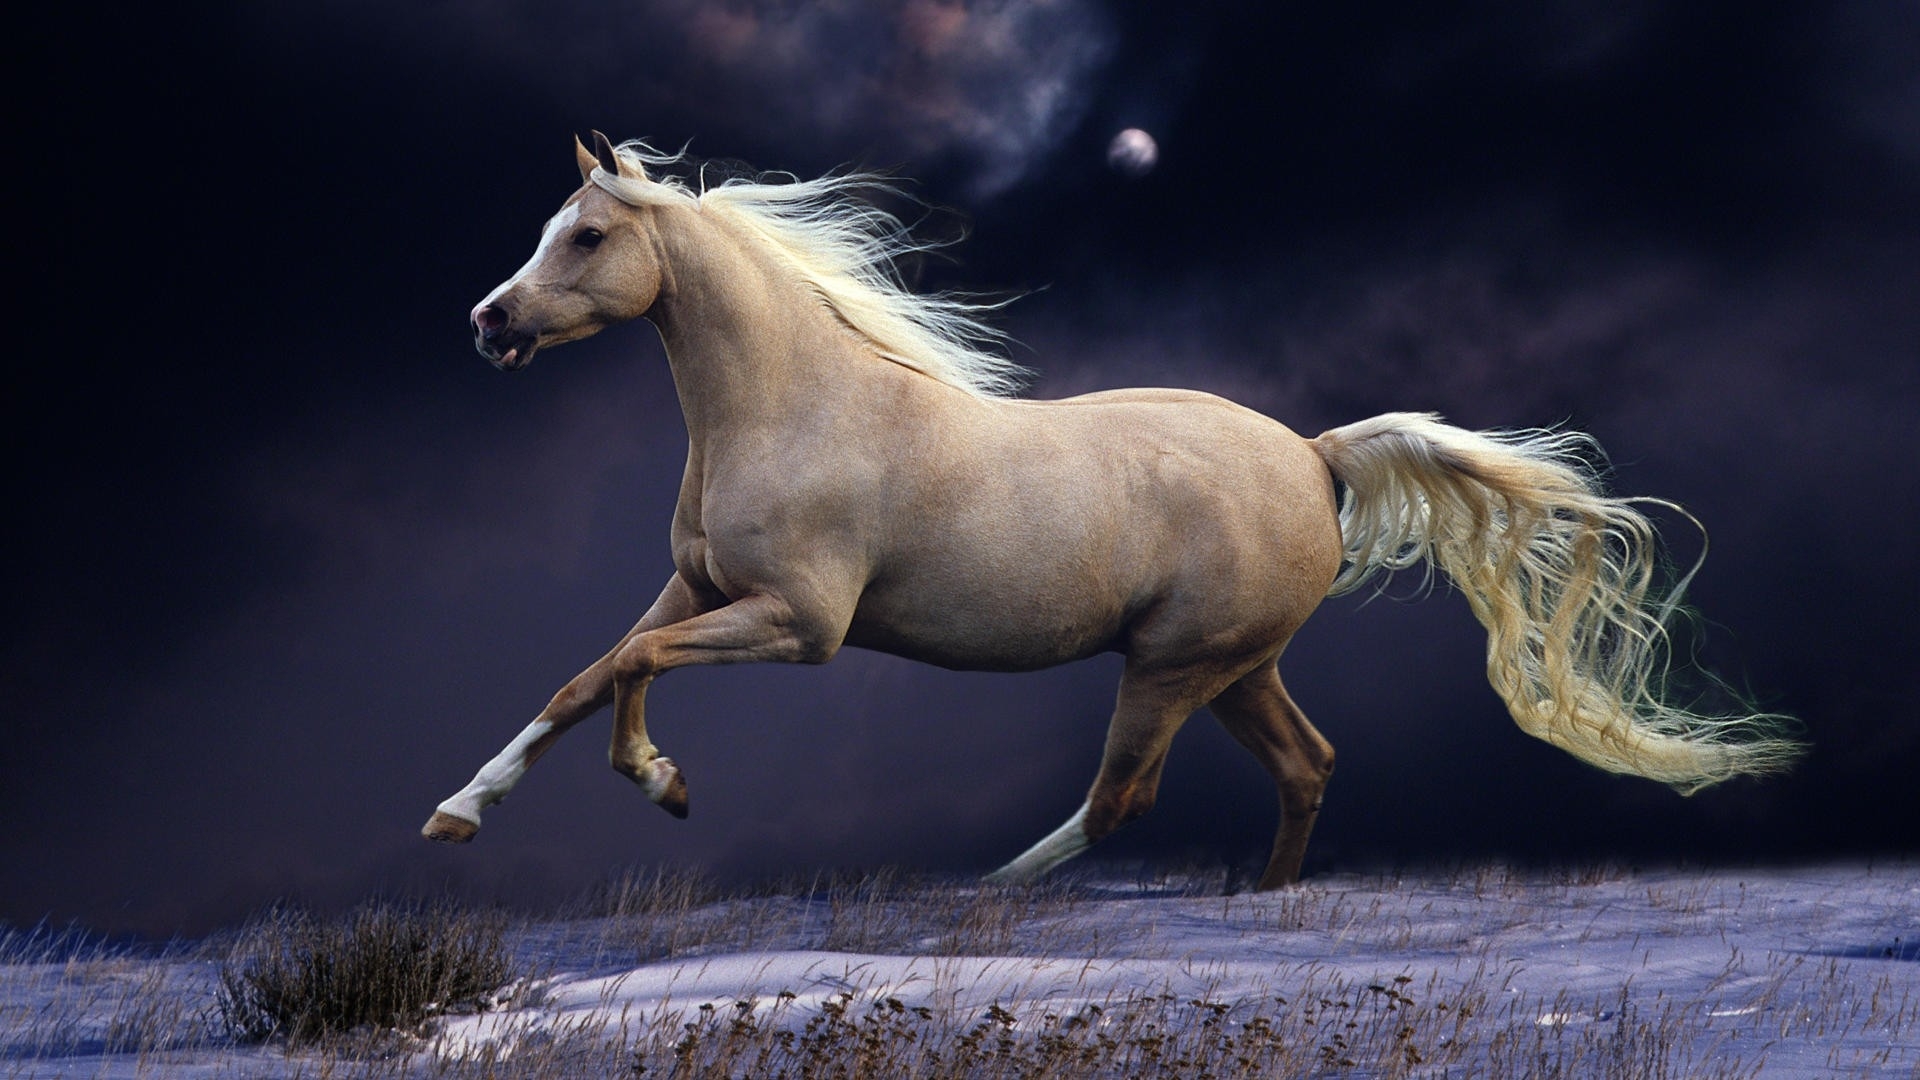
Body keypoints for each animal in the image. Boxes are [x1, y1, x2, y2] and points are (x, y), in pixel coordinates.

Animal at [421, 132, 1800, 890]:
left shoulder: (798, 624)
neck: (792, 407)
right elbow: (585, 674)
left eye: (587, 236)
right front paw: (456, 814)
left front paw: (663, 785)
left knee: (1122, 799)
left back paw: (976, 896)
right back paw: (1260, 903)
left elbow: (631, 671)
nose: (488, 322)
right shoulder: (700, 588)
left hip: (1174, 666)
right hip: (1237, 666)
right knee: (1307, 764)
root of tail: (1314, 456)